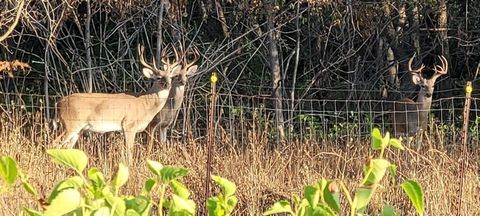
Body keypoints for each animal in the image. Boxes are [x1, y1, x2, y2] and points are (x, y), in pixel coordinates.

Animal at [53, 44, 182, 165]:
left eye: (171, 77)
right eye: (159, 77)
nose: (167, 84)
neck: (146, 104)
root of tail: (58, 103)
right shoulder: (129, 125)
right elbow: (129, 152)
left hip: (77, 129)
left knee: (66, 148)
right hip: (70, 124)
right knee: (55, 143)